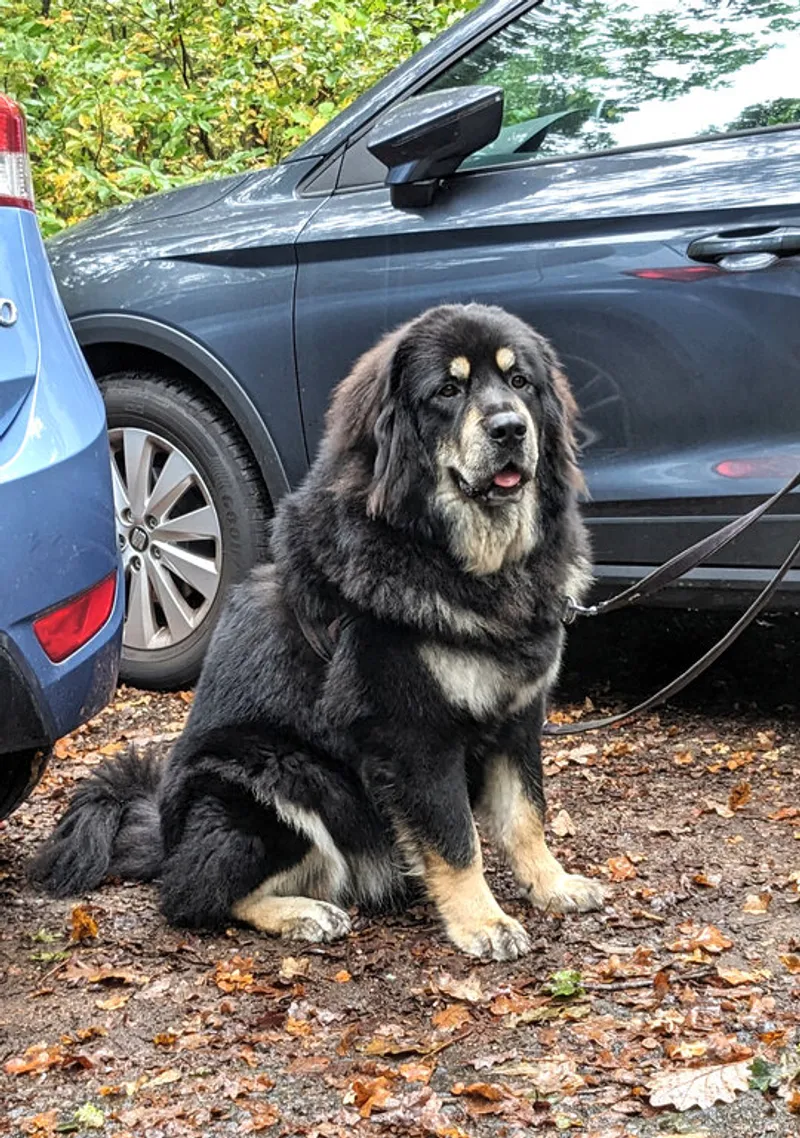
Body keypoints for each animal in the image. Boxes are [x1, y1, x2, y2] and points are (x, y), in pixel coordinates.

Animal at [30, 303, 606, 961]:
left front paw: (553, 885)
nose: (510, 429)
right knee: (192, 895)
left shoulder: (518, 717)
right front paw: (483, 922)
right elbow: (457, 838)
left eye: (520, 383)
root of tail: (165, 836)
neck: (460, 562)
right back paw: (304, 913)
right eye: (448, 391)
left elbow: (526, 815)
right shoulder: (415, 734)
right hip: (274, 773)